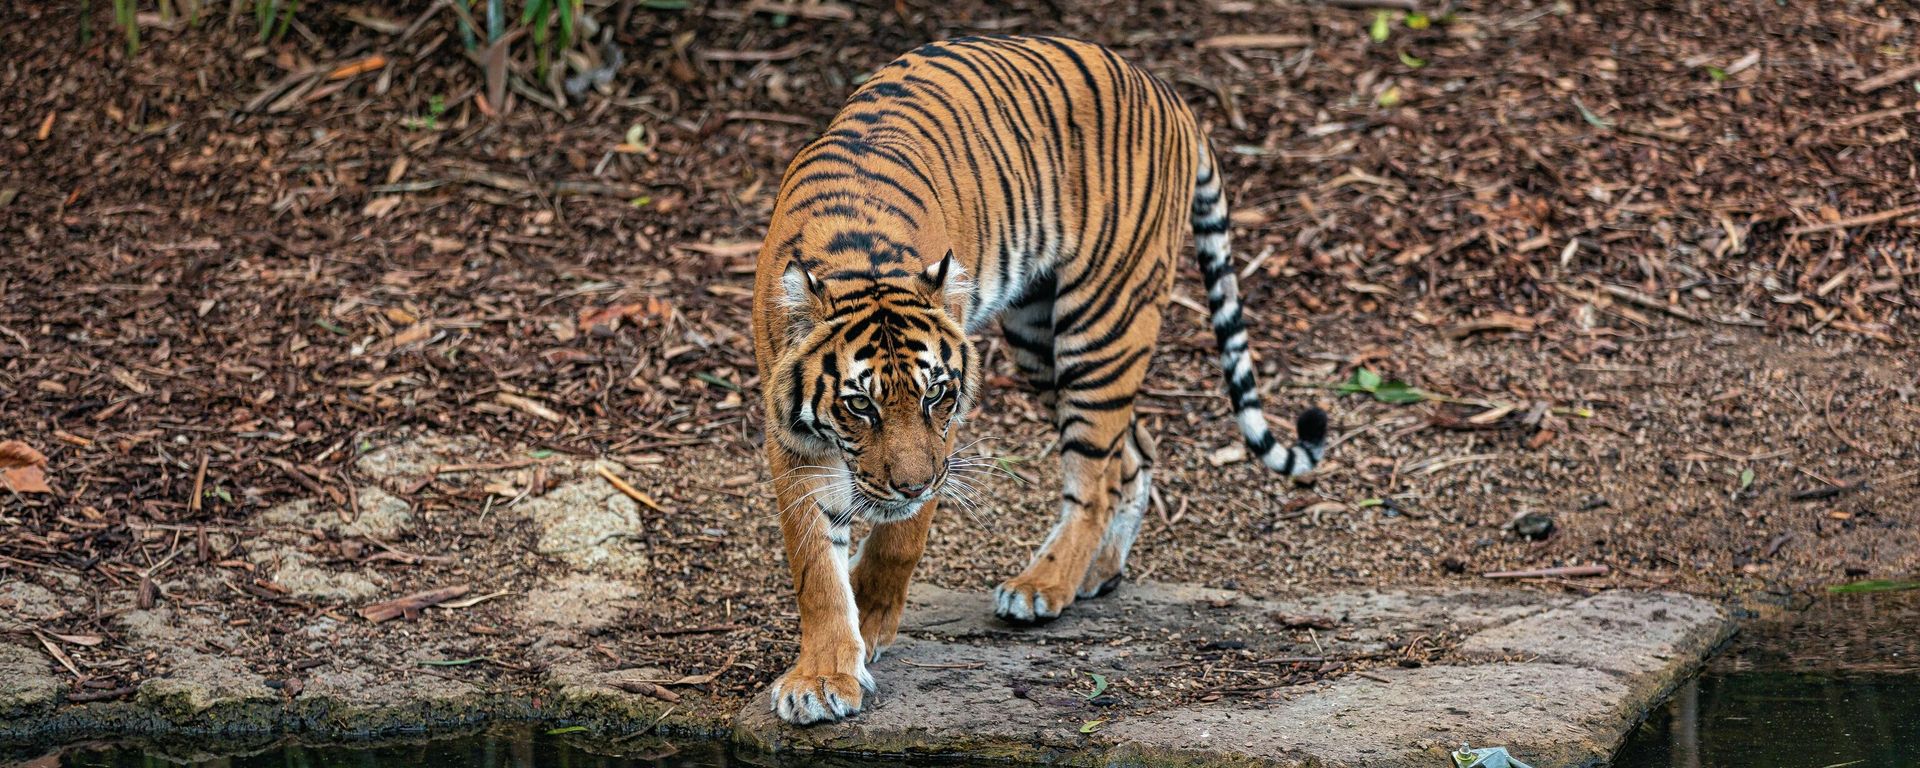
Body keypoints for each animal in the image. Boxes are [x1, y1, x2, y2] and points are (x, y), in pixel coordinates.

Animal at [750, 34, 1329, 725]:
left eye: (936, 394)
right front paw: (824, 675)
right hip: (1037, 336)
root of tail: (1167, 92)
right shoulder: (792, 439)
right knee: (1132, 451)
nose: (913, 483)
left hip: (1103, 322)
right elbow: (815, 567)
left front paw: (870, 619)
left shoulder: (944, 436)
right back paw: (1096, 573)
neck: (858, 260)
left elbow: (899, 539)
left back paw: (1043, 586)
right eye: (859, 406)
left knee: (1094, 477)